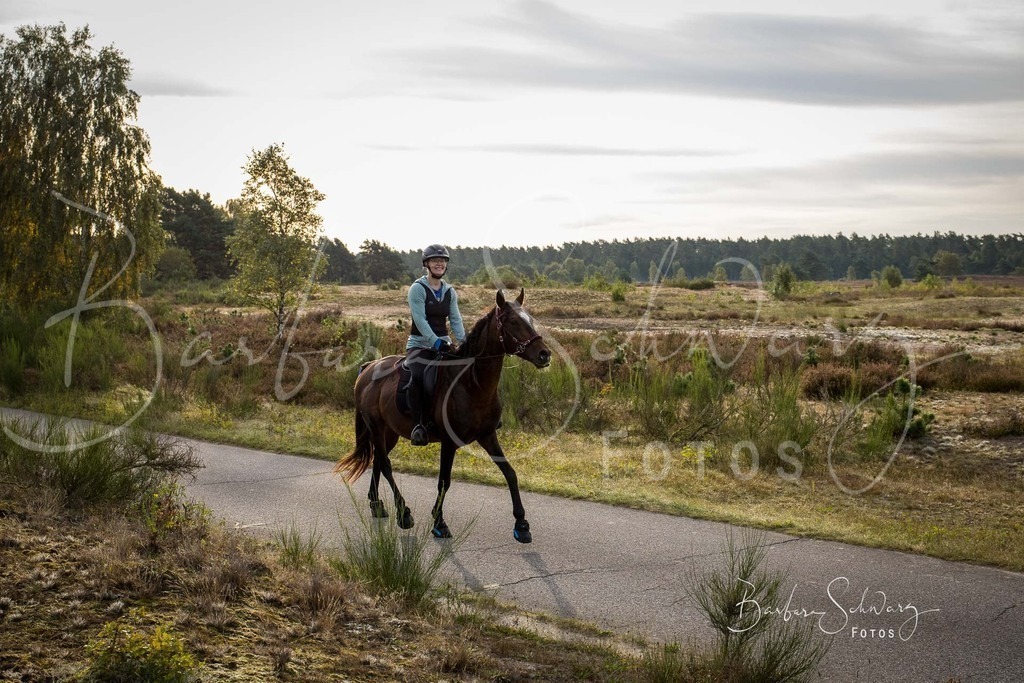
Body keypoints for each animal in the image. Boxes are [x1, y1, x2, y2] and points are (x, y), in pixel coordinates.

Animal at [334, 288, 552, 543]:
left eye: (530, 320)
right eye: (514, 322)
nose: (544, 354)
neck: (472, 384)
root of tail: (367, 369)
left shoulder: (488, 436)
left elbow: (510, 473)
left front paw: (522, 524)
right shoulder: (449, 442)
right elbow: (444, 482)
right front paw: (439, 523)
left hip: (390, 433)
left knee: (378, 459)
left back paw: (377, 505)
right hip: (376, 426)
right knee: (385, 465)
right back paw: (403, 513)